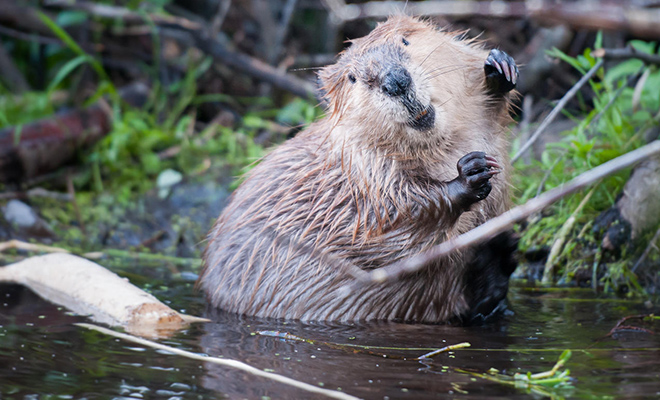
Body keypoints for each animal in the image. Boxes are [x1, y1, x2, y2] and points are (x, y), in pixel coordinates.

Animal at [199, 15, 520, 324]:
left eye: (405, 40)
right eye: (352, 77)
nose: (396, 81)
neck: (444, 145)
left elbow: (490, 111)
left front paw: (499, 68)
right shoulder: (364, 173)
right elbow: (395, 228)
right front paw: (470, 173)